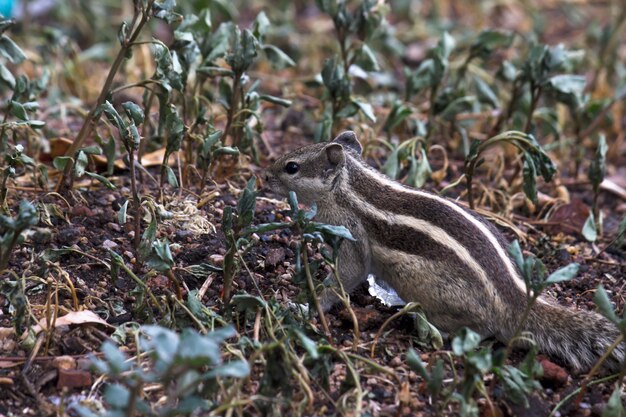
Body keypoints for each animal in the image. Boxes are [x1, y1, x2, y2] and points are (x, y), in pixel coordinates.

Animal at [264, 130, 624, 370]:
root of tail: (516, 300)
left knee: (476, 331)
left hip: (427, 286)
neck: (350, 188)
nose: (265, 177)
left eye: (292, 167)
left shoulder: (352, 237)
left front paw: (306, 305)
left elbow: (344, 277)